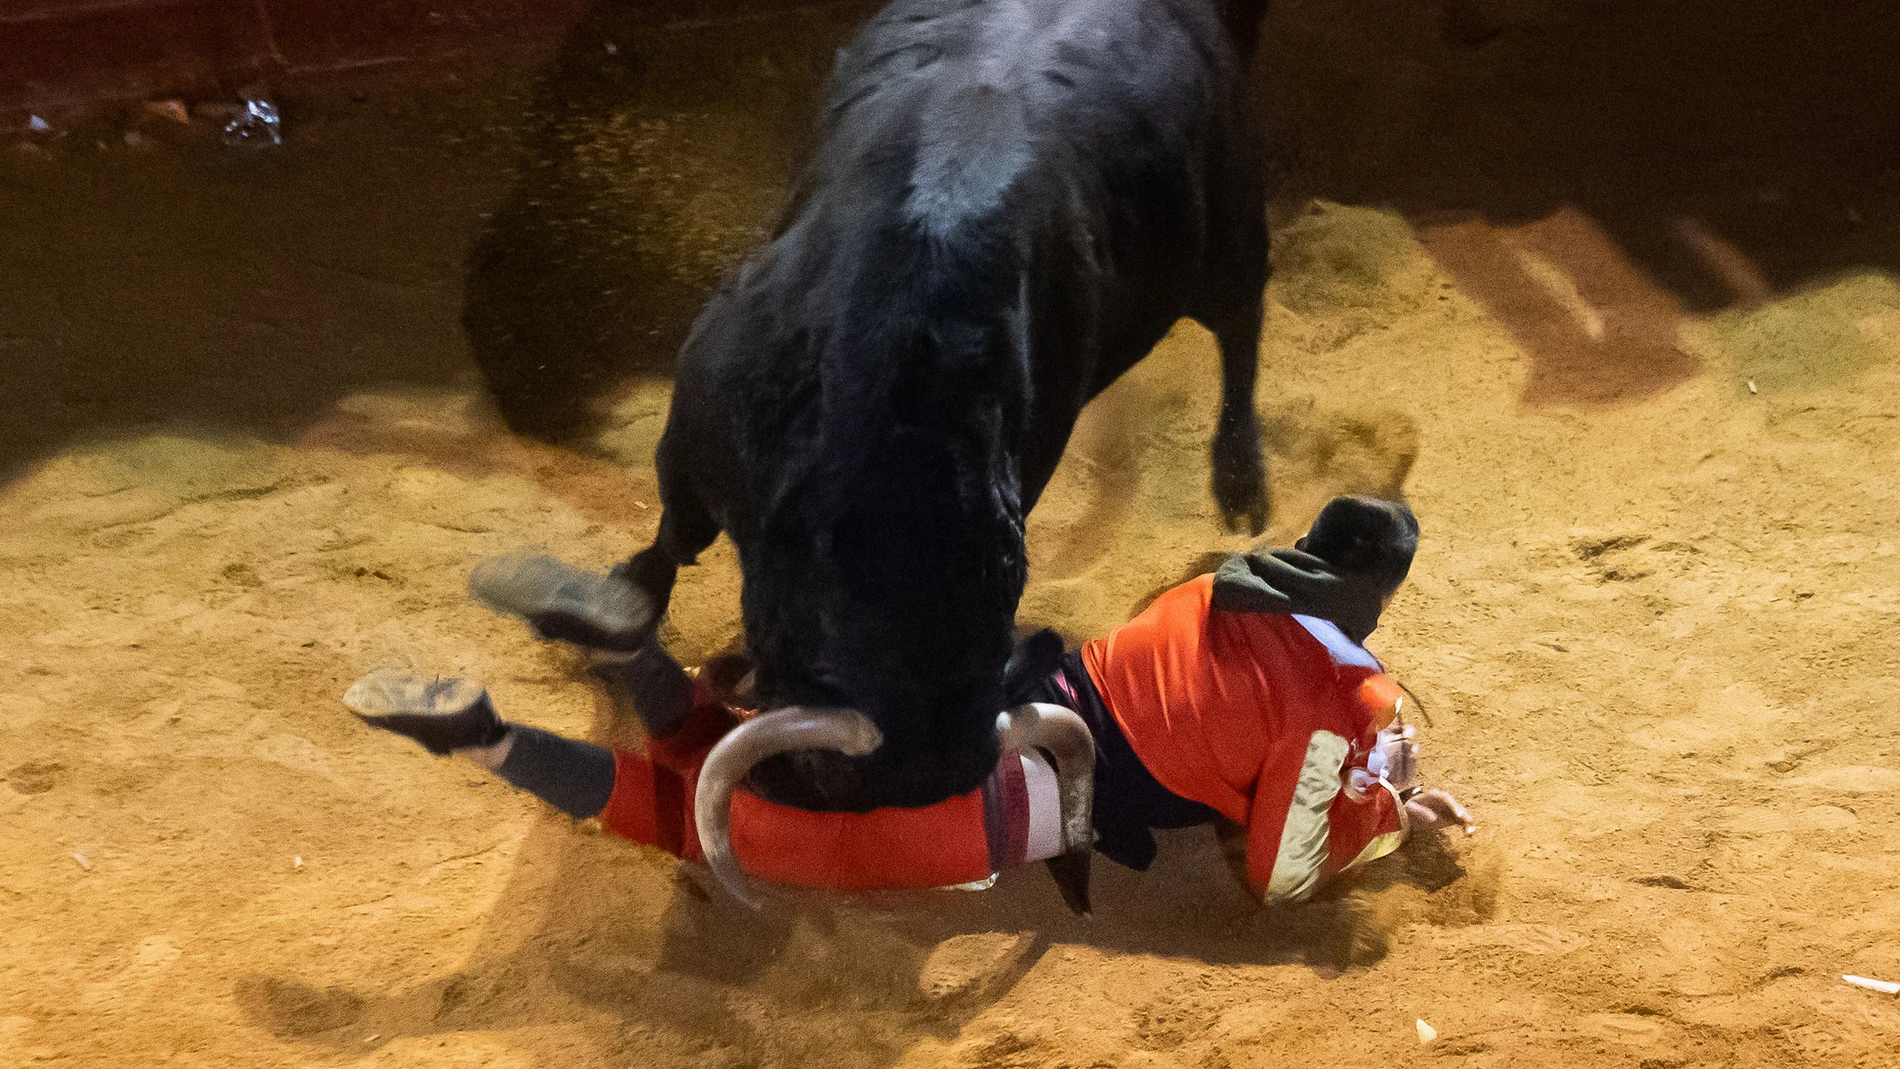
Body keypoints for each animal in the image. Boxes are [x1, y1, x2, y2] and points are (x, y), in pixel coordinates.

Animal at [608, 0, 1269, 812]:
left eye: (1004, 590)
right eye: (813, 610)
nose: (919, 771)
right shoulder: (694, 430)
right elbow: (677, 532)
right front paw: (616, 604)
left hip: (1229, 227)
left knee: (1241, 322)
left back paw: (1241, 481)